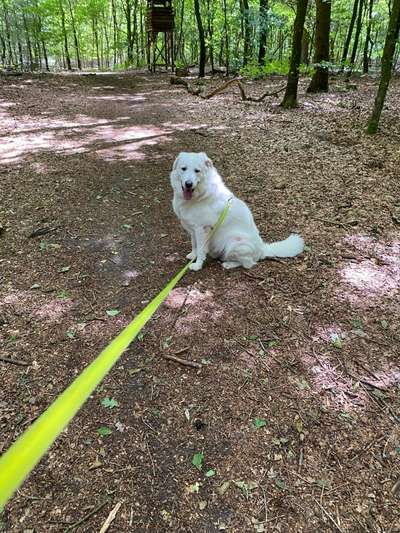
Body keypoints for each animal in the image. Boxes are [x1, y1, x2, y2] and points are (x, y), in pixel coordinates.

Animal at [170, 153, 304, 270]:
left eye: (197, 171)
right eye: (183, 169)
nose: (188, 184)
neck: (199, 196)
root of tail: (262, 249)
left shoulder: (201, 230)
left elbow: (201, 249)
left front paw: (197, 265)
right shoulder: (193, 229)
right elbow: (194, 244)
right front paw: (193, 255)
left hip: (234, 241)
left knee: (249, 263)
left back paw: (229, 264)